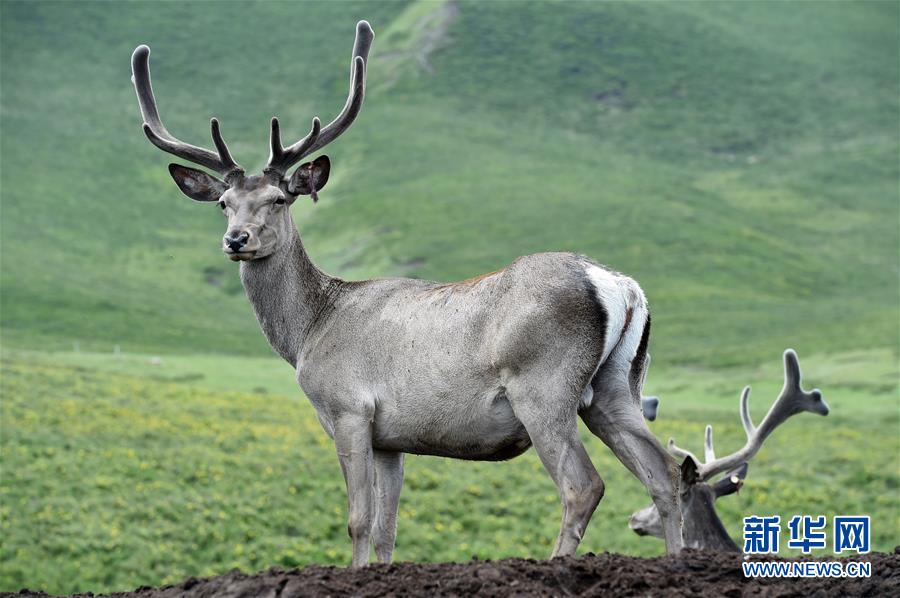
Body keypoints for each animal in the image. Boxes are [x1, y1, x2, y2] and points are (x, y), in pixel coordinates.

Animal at [130, 21, 684, 568]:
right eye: (224, 203)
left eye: (279, 199)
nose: (236, 240)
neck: (308, 331)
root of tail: (620, 287)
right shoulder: (390, 438)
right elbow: (386, 530)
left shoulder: (348, 409)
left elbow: (357, 521)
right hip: (616, 385)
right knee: (666, 471)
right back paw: (679, 559)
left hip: (543, 384)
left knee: (583, 486)